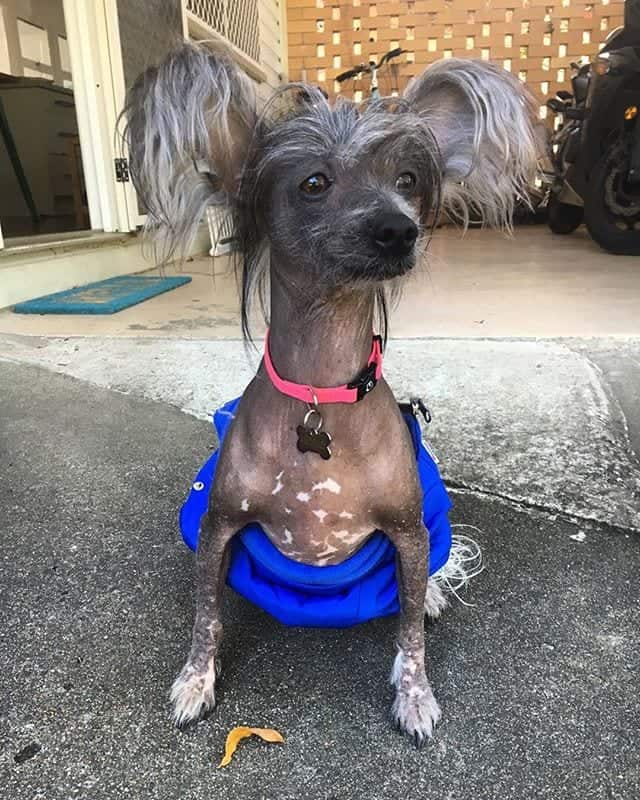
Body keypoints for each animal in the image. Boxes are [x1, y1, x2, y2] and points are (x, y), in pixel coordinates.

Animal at [121, 42, 540, 744]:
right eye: (314, 182)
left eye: (407, 181)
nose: (399, 229)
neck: (322, 391)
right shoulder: (217, 525)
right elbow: (206, 617)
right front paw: (196, 680)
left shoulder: (407, 531)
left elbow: (409, 635)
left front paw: (414, 692)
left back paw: (430, 592)